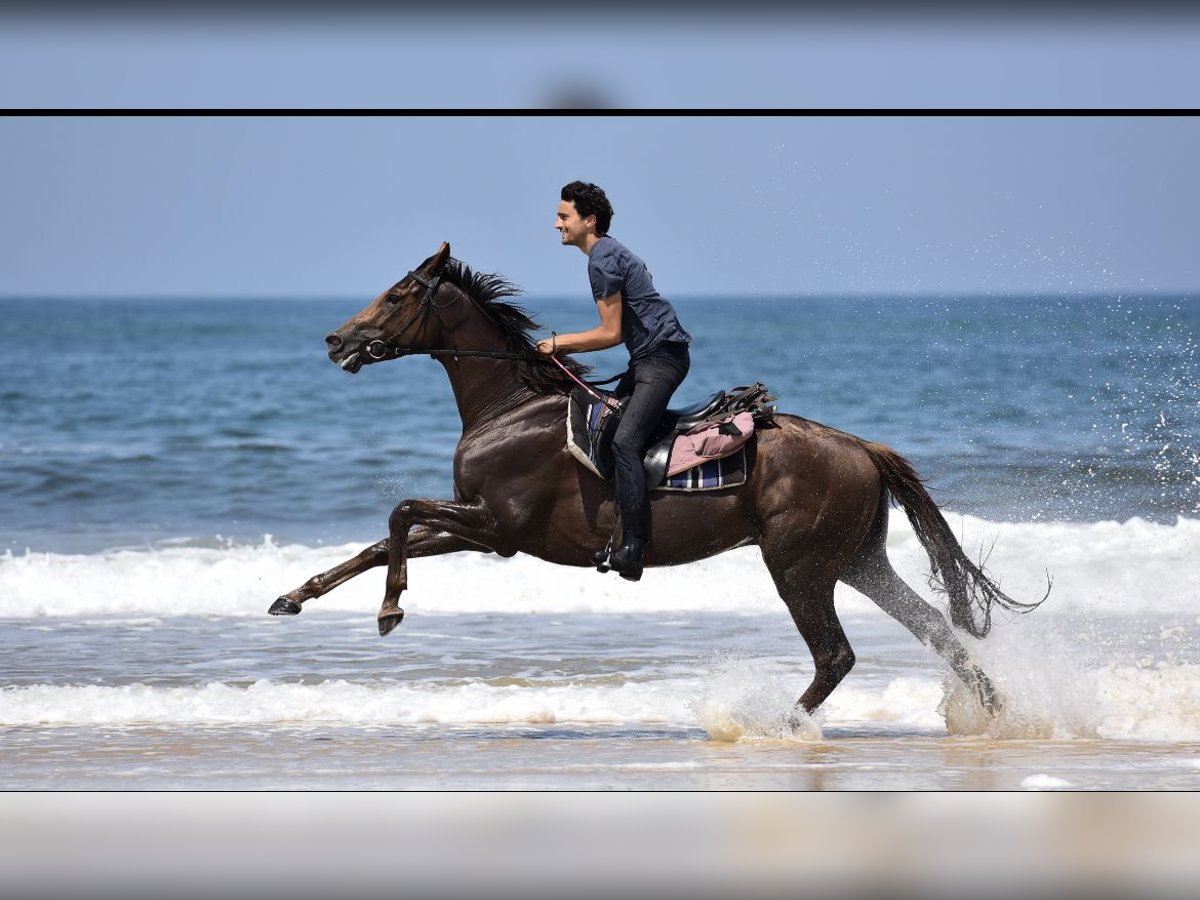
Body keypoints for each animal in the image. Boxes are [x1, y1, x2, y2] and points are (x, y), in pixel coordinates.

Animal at [270, 243, 1041, 724]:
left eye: (399, 294)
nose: (337, 341)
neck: (510, 407)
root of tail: (861, 446)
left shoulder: (497, 527)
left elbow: (399, 513)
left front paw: (389, 609)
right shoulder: (478, 525)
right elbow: (381, 540)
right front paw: (295, 596)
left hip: (799, 566)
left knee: (836, 655)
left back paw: (776, 726)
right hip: (858, 561)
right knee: (939, 632)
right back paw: (998, 714)